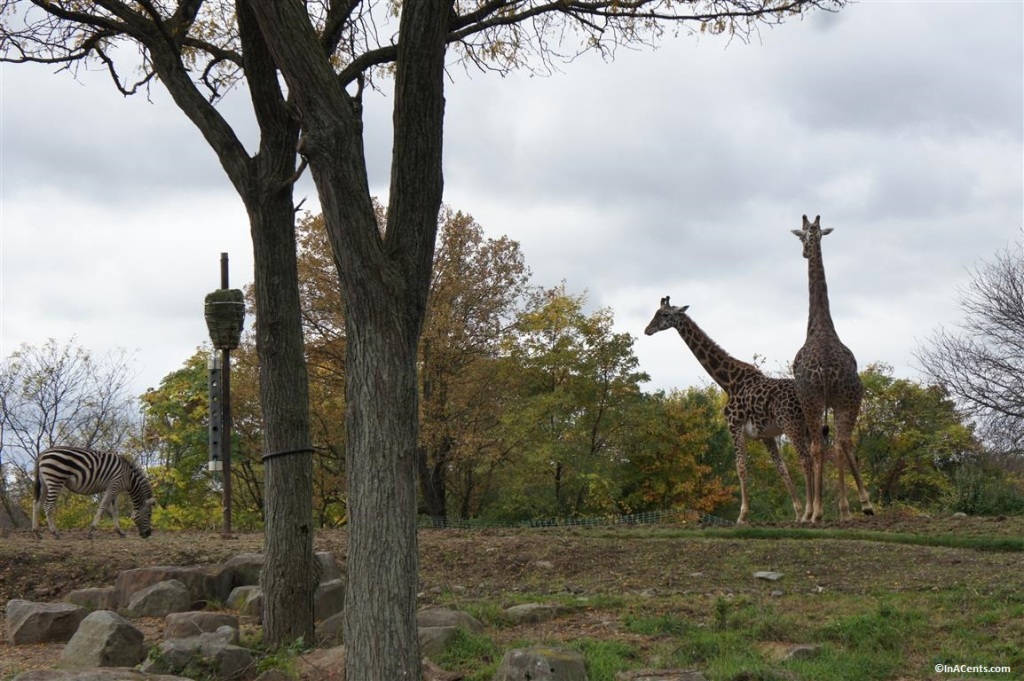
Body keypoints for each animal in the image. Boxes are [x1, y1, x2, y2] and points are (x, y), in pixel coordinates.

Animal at [643, 294, 811, 522]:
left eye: (665, 314)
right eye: (656, 312)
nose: (647, 329)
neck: (729, 382)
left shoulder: (734, 426)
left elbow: (741, 468)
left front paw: (742, 516)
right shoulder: (766, 435)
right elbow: (781, 468)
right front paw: (798, 512)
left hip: (793, 426)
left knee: (806, 460)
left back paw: (813, 513)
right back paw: (818, 512)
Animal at [786, 215, 876, 522]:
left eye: (801, 236)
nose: (803, 252)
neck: (821, 327)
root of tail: (826, 371)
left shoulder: (810, 401)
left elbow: (816, 448)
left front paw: (816, 509)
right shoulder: (837, 402)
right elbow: (842, 444)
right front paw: (863, 503)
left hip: (814, 401)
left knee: (820, 446)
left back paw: (820, 511)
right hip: (850, 399)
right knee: (842, 442)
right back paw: (849, 509)